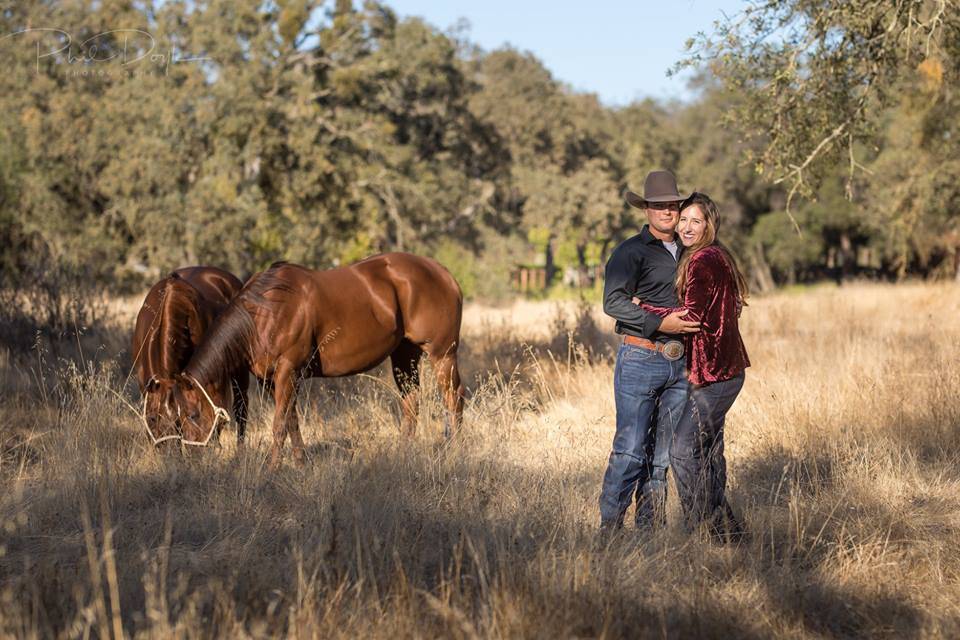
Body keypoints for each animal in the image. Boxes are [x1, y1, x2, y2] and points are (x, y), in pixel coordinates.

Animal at [172, 252, 464, 468]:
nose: (193, 459)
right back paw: (404, 453)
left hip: (442, 355)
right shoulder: (273, 380)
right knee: (411, 402)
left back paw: (454, 450)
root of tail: (443, 273)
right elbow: (291, 421)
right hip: (405, 355)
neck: (267, 312)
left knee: (453, 398)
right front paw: (301, 464)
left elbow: (279, 424)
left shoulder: (288, 372)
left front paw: (272, 469)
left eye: (193, 414)